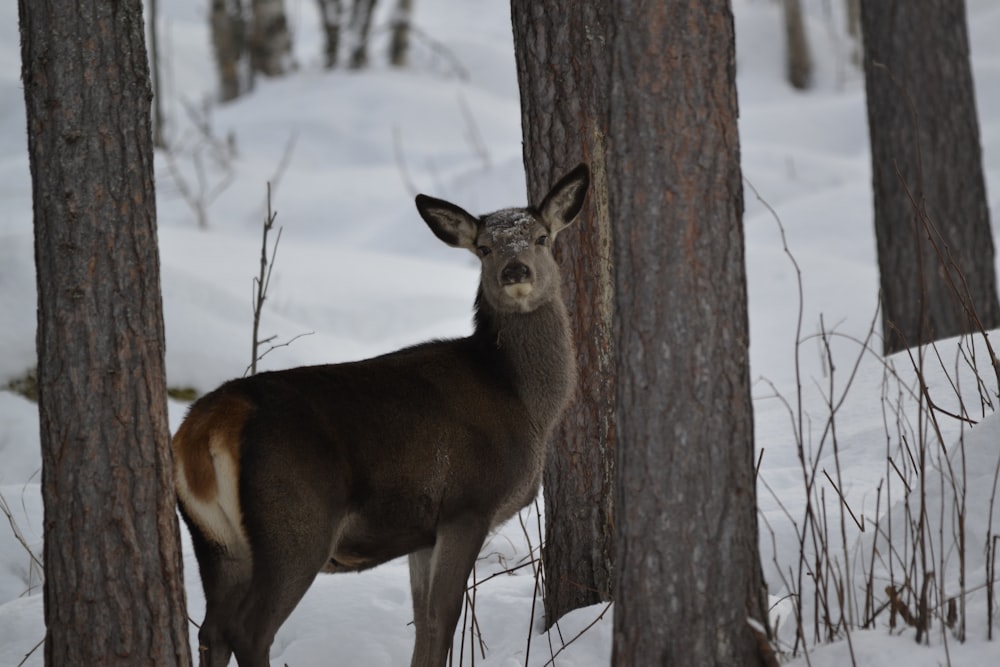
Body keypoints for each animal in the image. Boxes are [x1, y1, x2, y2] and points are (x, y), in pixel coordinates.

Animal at [173, 166, 588, 667]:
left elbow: (423, 623)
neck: (523, 402)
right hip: (294, 524)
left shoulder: (423, 533)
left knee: (211, 630)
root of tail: (205, 426)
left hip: (215, 541)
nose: (515, 271)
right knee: (249, 629)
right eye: (485, 247)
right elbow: (444, 617)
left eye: (542, 238)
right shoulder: (468, 504)